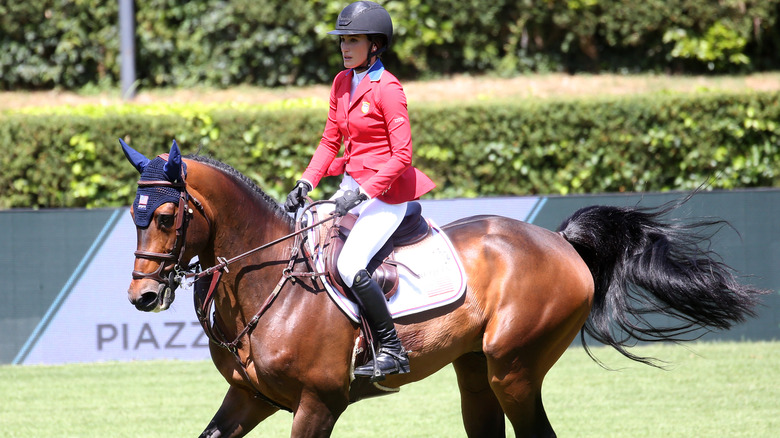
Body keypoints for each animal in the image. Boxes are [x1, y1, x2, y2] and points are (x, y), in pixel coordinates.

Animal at [122, 141, 760, 438]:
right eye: (134, 215)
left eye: (166, 217)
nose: (142, 298)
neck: (267, 279)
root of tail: (560, 243)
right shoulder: (249, 397)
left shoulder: (317, 402)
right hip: (476, 369)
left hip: (513, 366)